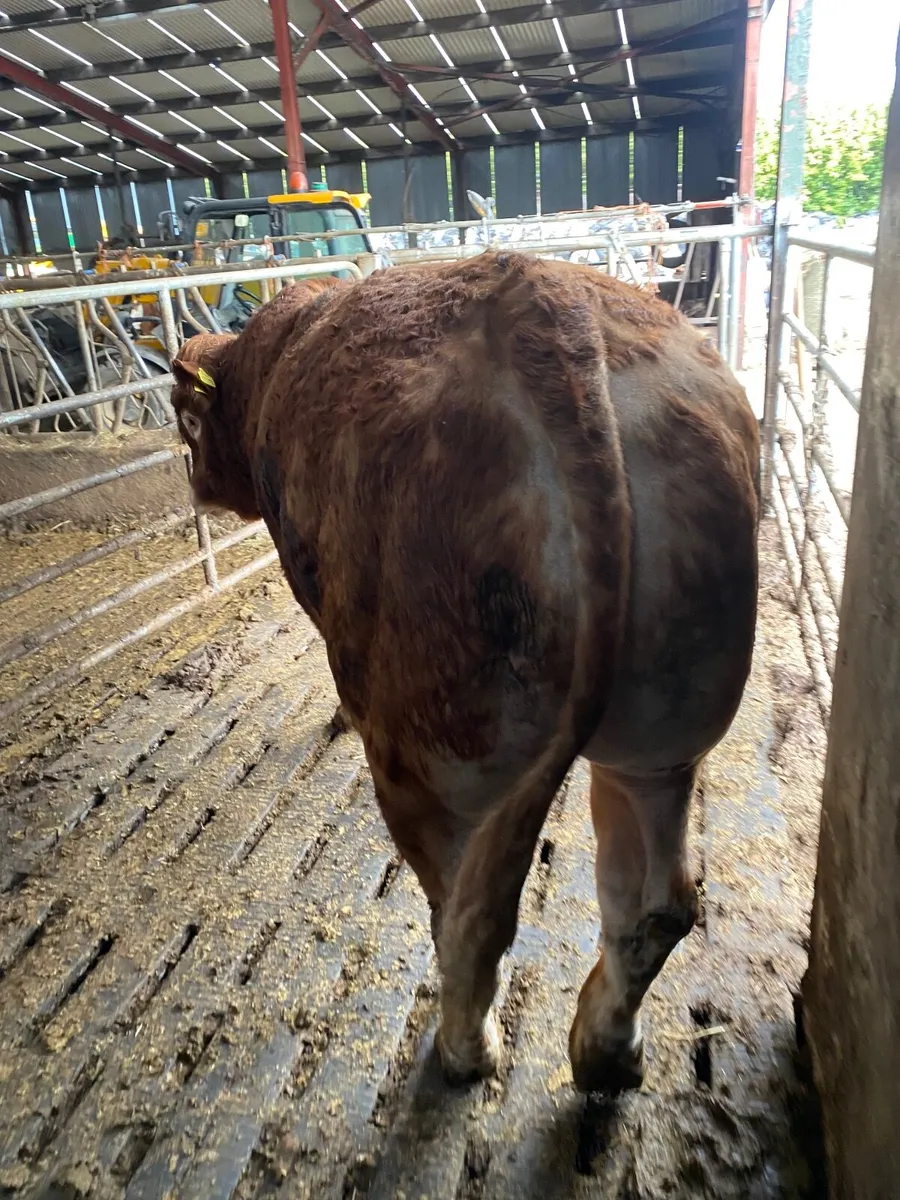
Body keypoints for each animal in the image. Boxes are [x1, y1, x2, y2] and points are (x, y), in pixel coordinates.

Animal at [171, 252, 759, 1094]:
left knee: (468, 916)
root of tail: (549, 314)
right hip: (668, 725)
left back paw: (464, 1051)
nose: (193, 483)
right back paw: (606, 1050)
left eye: (187, 421)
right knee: (656, 900)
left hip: (438, 755)